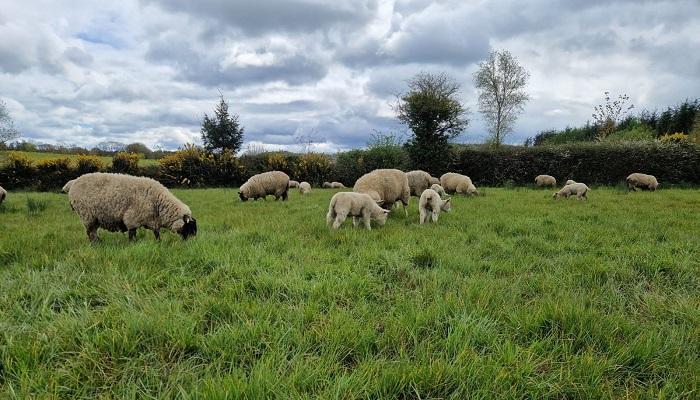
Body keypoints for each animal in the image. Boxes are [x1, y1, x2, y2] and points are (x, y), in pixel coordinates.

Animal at [68, 173, 197, 242]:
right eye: (190, 227)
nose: (191, 243)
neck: (158, 202)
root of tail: (73, 182)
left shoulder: (153, 220)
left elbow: (157, 233)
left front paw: (158, 243)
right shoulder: (132, 218)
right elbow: (132, 234)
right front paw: (132, 244)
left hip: (93, 217)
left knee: (92, 231)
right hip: (87, 214)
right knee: (91, 232)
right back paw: (95, 243)